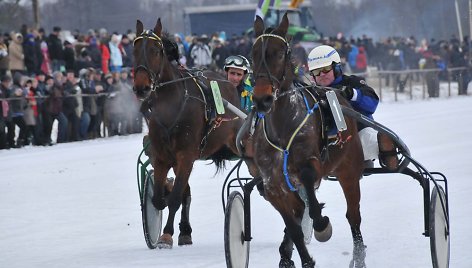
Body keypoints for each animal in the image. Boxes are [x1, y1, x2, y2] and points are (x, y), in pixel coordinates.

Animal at [133, 18, 243, 249]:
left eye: (156, 50)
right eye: (134, 49)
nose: (141, 88)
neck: (171, 106)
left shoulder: (186, 155)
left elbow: (174, 198)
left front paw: (166, 235)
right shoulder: (163, 156)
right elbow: (160, 199)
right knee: (185, 192)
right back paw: (185, 230)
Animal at [249, 14, 366, 266]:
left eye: (279, 53)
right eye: (253, 54)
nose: (262, 99)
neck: (282, 126)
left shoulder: (310, 161)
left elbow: (308, 181)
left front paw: (321, 224)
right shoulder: (273, 184)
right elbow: (293, 226)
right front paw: (303, 259)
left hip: (349, 169)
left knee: (353, 215)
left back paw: (359, 255)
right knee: (299, 209)